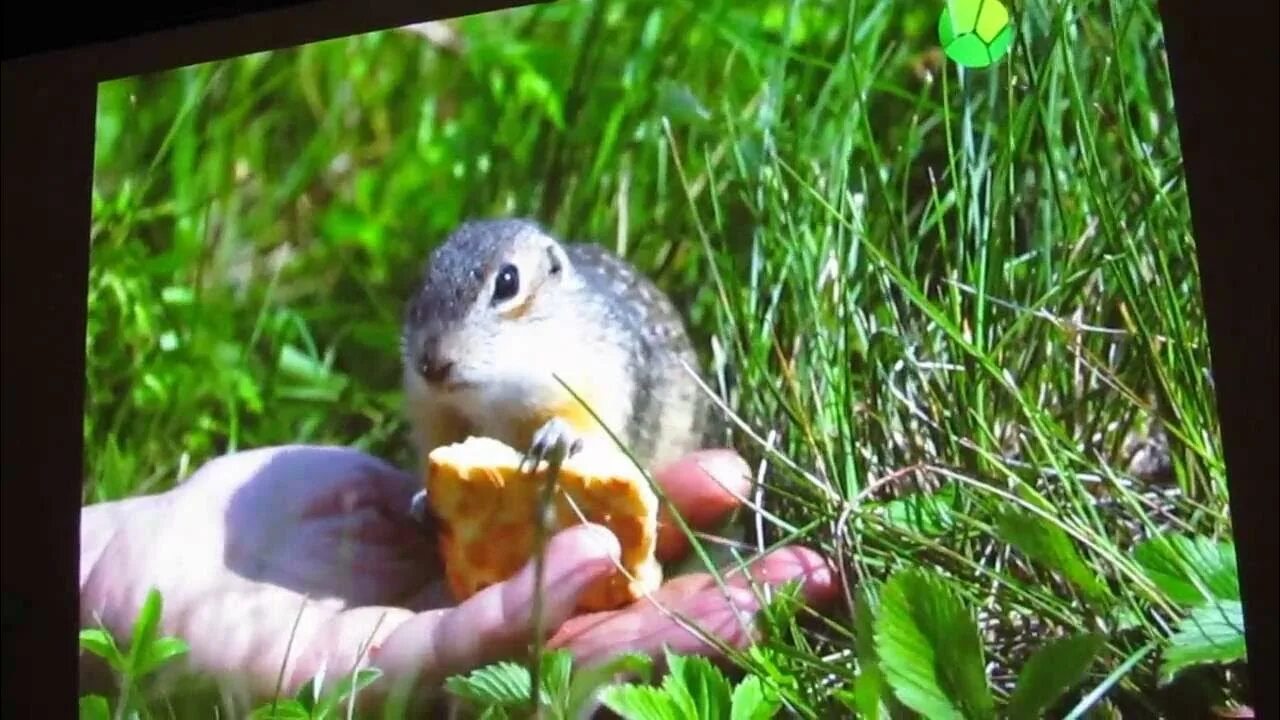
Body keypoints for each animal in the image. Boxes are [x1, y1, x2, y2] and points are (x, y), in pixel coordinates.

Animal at [401, 215, 711, 517]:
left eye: (508, 282)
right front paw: (424, 498)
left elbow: (590, 426)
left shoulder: (596, 385)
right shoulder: (433, 413)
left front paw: (558, 434)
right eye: (422, 284)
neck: (495, 398)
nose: (431, 366)